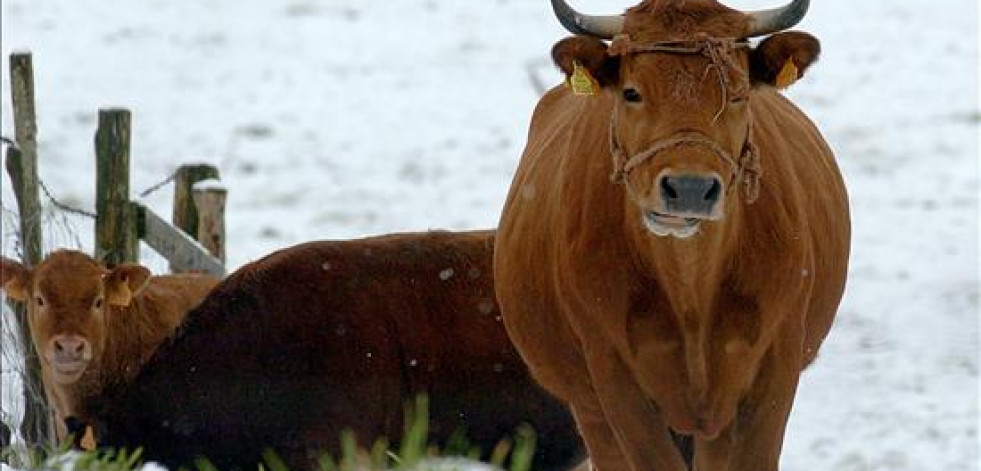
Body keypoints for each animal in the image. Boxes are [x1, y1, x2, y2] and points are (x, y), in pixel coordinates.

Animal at [498, 0, 848, 471]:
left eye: (738, 93)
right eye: (631, 92)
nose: (689, 188)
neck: (691, 290)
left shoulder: (774, 366)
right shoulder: (613, 375)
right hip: (588, 408)